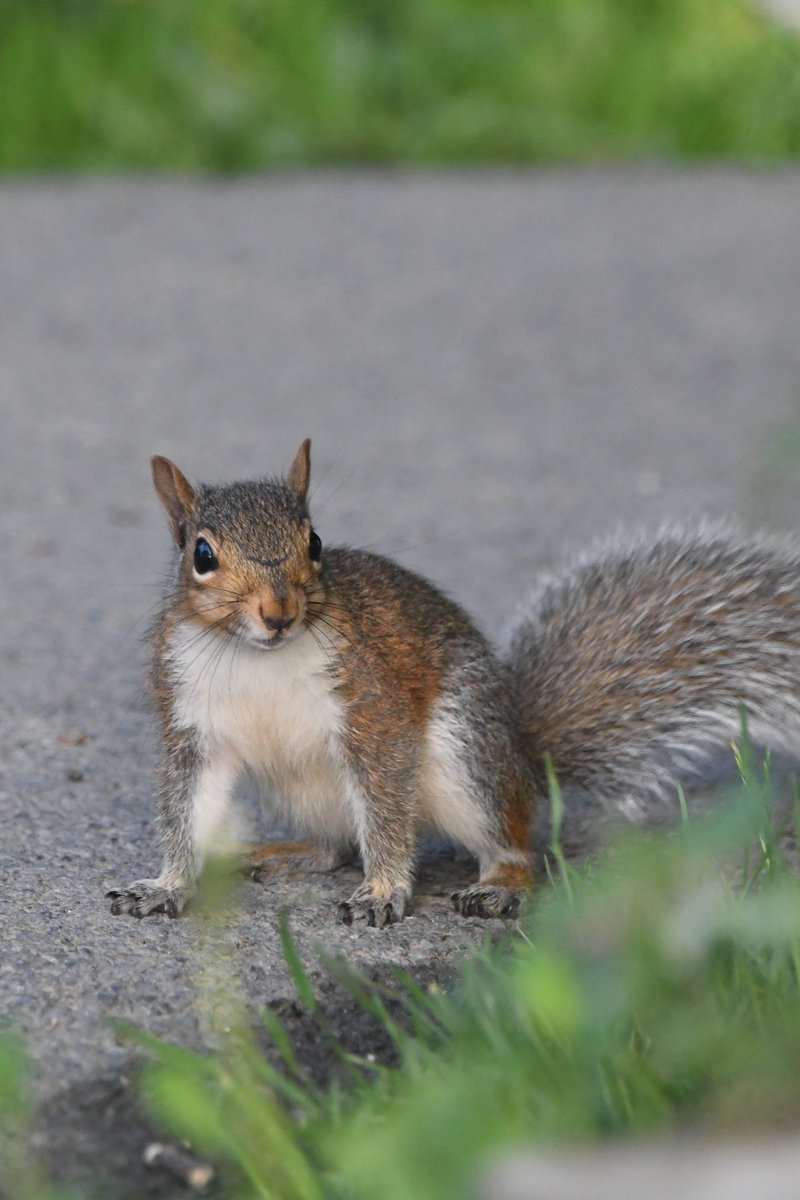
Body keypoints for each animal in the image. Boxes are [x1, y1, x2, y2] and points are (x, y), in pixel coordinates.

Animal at [108, 439, 800, 926]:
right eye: (201, 555)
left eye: (315, 542)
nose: (278, 613)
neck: (256, 657)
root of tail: (524, 758)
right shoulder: (191, 726)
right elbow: (185, 810)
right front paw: (165, 886)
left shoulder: (372, 709)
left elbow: (388, 812)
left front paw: (383, 894)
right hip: (301, 788)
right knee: (337, 846)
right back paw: (273, 854)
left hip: (466, 756)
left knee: (513, 848)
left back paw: (497, 889)